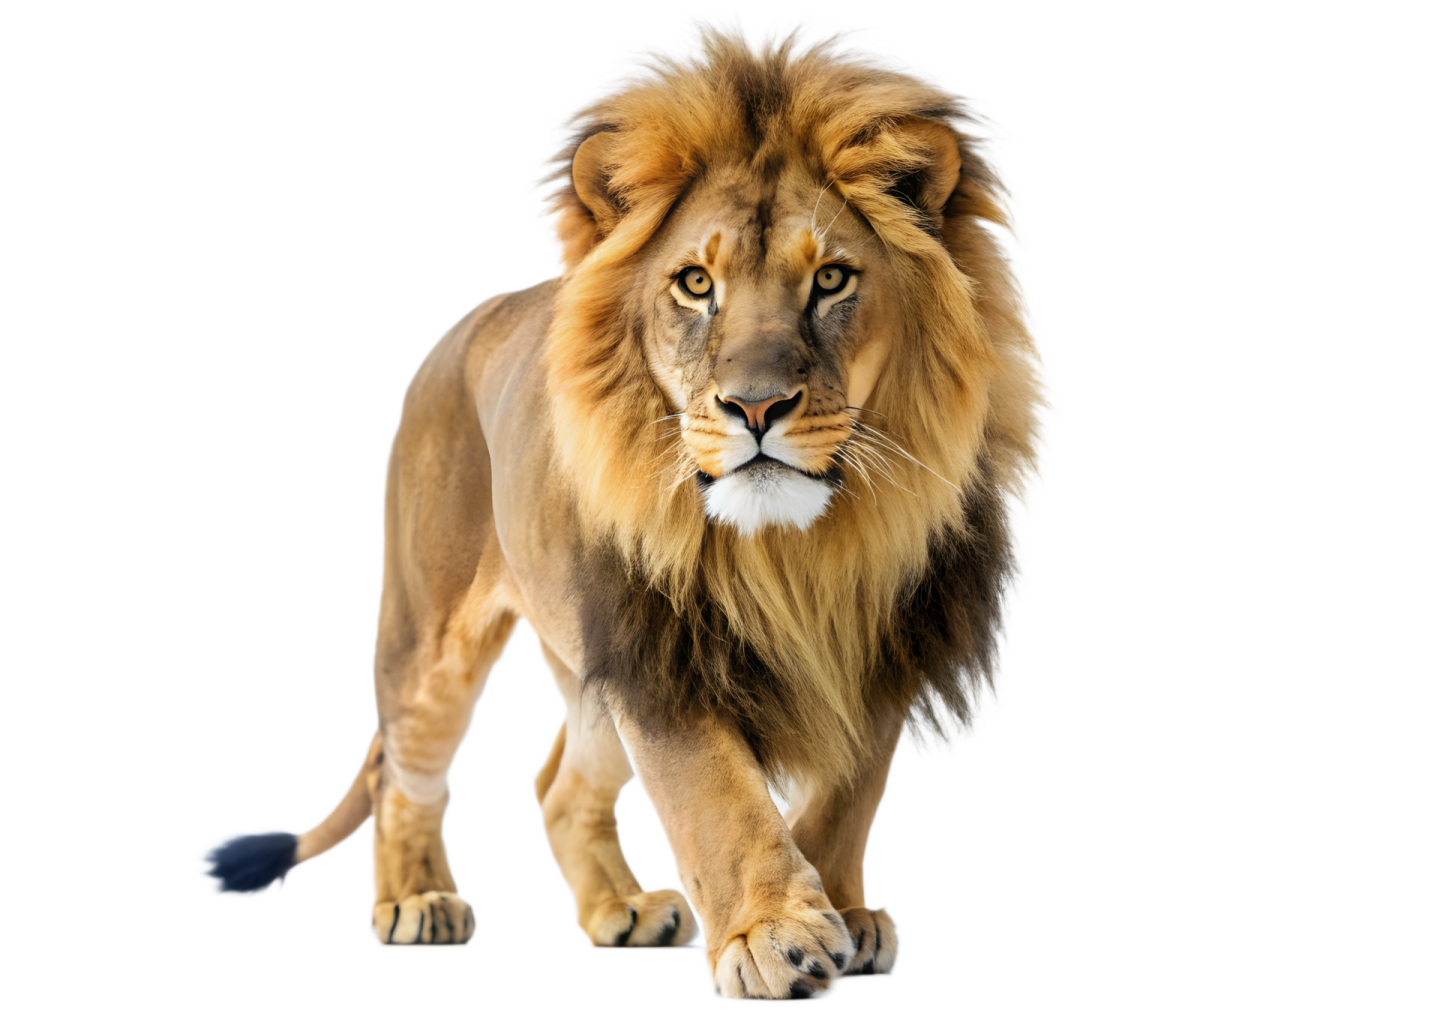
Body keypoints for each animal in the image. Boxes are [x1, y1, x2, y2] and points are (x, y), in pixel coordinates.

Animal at [194, 11, 1057, 1001]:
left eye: (833, 280)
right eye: (696, 284)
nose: (755, 406)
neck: (798, 550)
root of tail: (469, 321)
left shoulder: (891, 635)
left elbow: (849, 795)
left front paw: (838, 911)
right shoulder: (658, 648)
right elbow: (714, 795)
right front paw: (774, 934)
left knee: (558, 784)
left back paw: (622, 912)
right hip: (433, 631)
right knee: (406, 772)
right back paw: (416, 903)